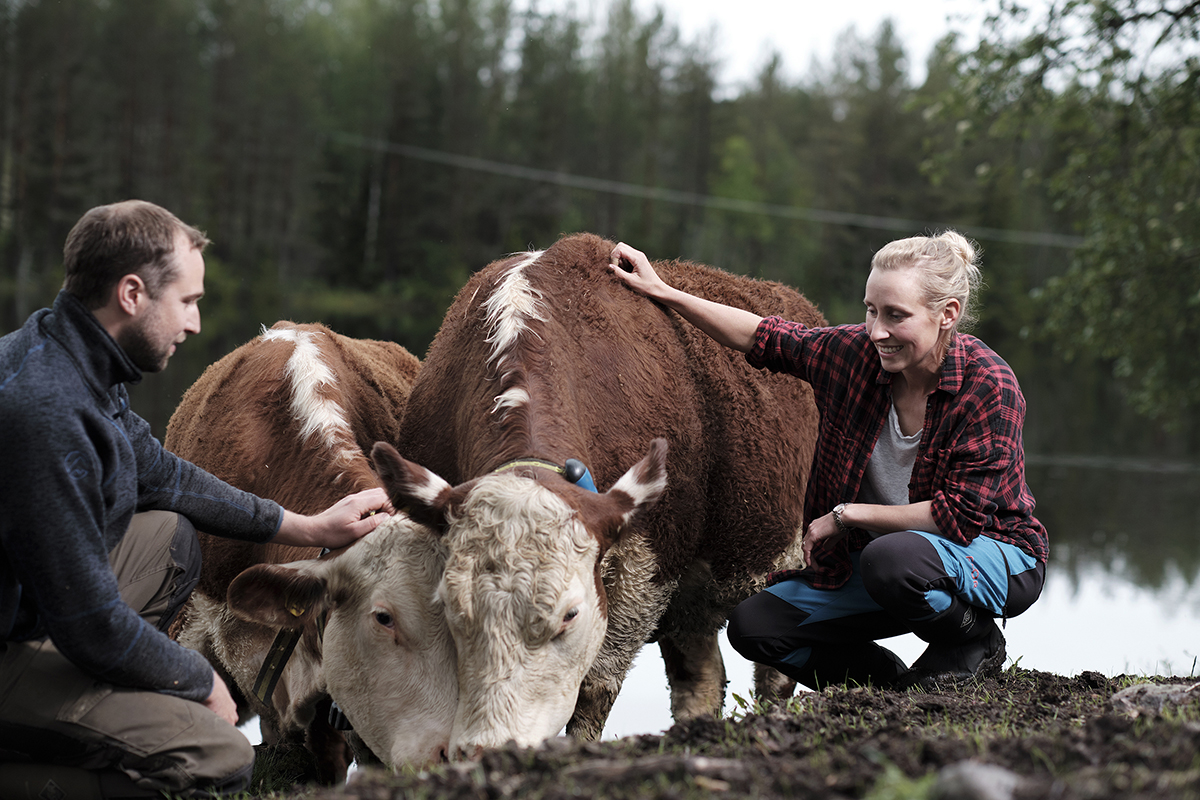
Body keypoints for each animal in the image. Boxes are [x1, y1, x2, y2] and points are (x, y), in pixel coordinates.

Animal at [374, 232, 825, 758]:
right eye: (450, 607)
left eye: (570, 614)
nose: (495, 745)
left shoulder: (646, 563)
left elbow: (593, 686)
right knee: (700, 676)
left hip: (783, 561)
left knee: (772, 677)